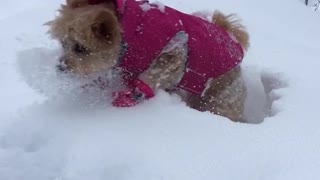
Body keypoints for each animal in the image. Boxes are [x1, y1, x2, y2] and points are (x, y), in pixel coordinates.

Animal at [47, 0, 250, 122]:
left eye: (80, 48)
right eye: (63, 43)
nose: (60, 67)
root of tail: (233, 38)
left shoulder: (175, 50)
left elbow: (152, 76)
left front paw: (129, 96)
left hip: (220, 97)